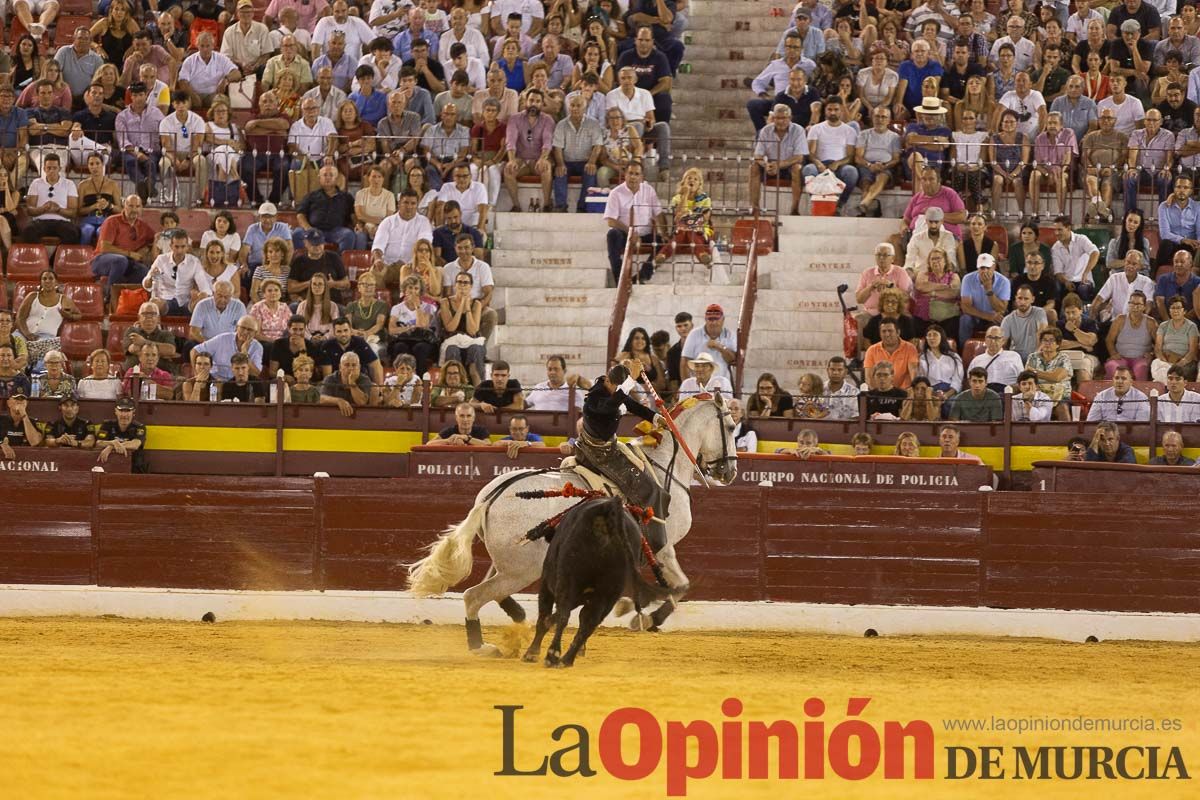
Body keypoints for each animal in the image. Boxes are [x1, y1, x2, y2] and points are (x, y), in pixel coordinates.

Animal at [525, 496, 676, 666]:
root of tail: (608, 508)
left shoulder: (547, 585)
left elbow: (545, 616)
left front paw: (532, 652)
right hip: (609, 592)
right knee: (589, 622)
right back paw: (567, 659)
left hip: (568, 580)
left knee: (565, 615)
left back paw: (553, 655)